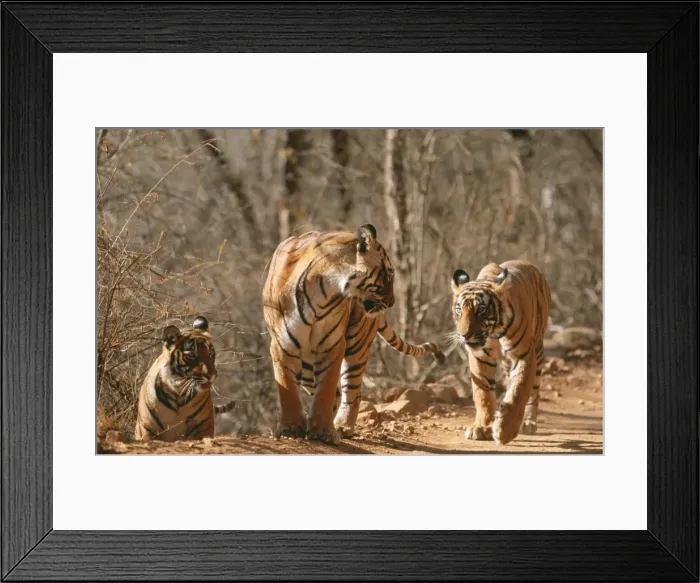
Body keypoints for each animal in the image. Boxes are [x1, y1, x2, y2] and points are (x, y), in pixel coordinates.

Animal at [262, 224, 444, 445]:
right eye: (388, 274)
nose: (392, 302)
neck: (324, 289)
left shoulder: (332, 344)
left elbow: (325, 389)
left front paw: (323, 431)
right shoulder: (281, 344)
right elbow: (287, 388)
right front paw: (291, 428)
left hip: (357, 343)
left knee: (352, 393)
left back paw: (341, 426)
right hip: (307, 365)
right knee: (334, 392)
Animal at [449, 259, 551, 445]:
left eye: (480, 310)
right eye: (459, 309)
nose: (464, 334)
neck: (494, 333)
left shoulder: (523, 355)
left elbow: (519, 390)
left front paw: (505, 430)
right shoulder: (480, 357)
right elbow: (483, 394)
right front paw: (481, 428)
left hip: (538, 350)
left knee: (534, 392)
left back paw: (528, 423)